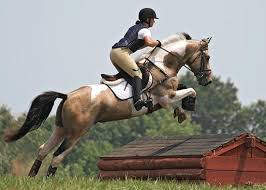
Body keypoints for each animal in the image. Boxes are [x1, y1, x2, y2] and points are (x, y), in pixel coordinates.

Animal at [3, 32, 212, 177]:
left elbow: (183, 90)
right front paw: (188, 107)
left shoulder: (164, 99)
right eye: (208, 58)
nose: (208, 80)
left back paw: (32, 178)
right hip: (77, 132)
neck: (163, 65)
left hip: (60, 128)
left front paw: (181, 113)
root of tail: (67, 96)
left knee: (43, 149)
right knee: (58, 154)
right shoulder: (165, 97)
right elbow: (190, 90)